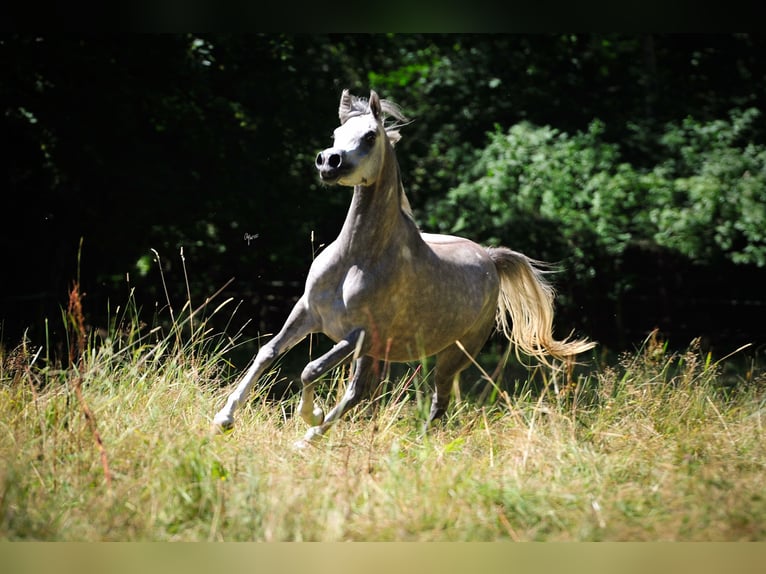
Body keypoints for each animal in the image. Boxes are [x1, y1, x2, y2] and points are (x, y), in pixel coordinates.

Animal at [213, 89, 595, 446]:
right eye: (336, 133)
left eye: (370, 136)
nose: (329, 162)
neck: (356, 258)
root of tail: (489, 257)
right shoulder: (307, 313)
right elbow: (268, 353)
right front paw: (224, 419)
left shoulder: (361, 334)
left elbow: (310, 369)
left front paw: (311, 413)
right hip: (378, 354)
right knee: (358, 394)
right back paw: (308, 441)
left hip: (452, 355)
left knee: (437, 401)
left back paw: (402, 442)